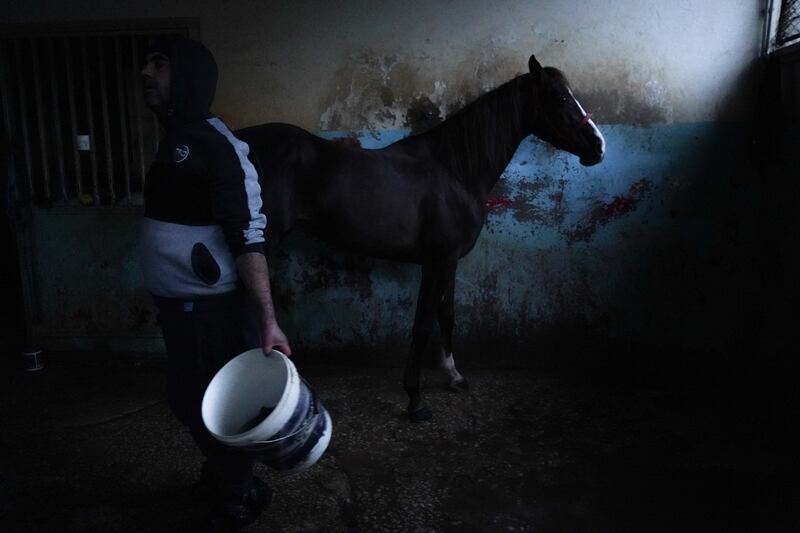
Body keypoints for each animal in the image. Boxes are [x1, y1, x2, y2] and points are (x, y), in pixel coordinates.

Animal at [238, 54, 608, 420]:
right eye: (561, 98)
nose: (599, 147)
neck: (455, 171)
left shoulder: (449, 261)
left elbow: (447, 315)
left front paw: (454, 376)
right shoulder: (436, 261)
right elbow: (423, 324)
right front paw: (415, 399)